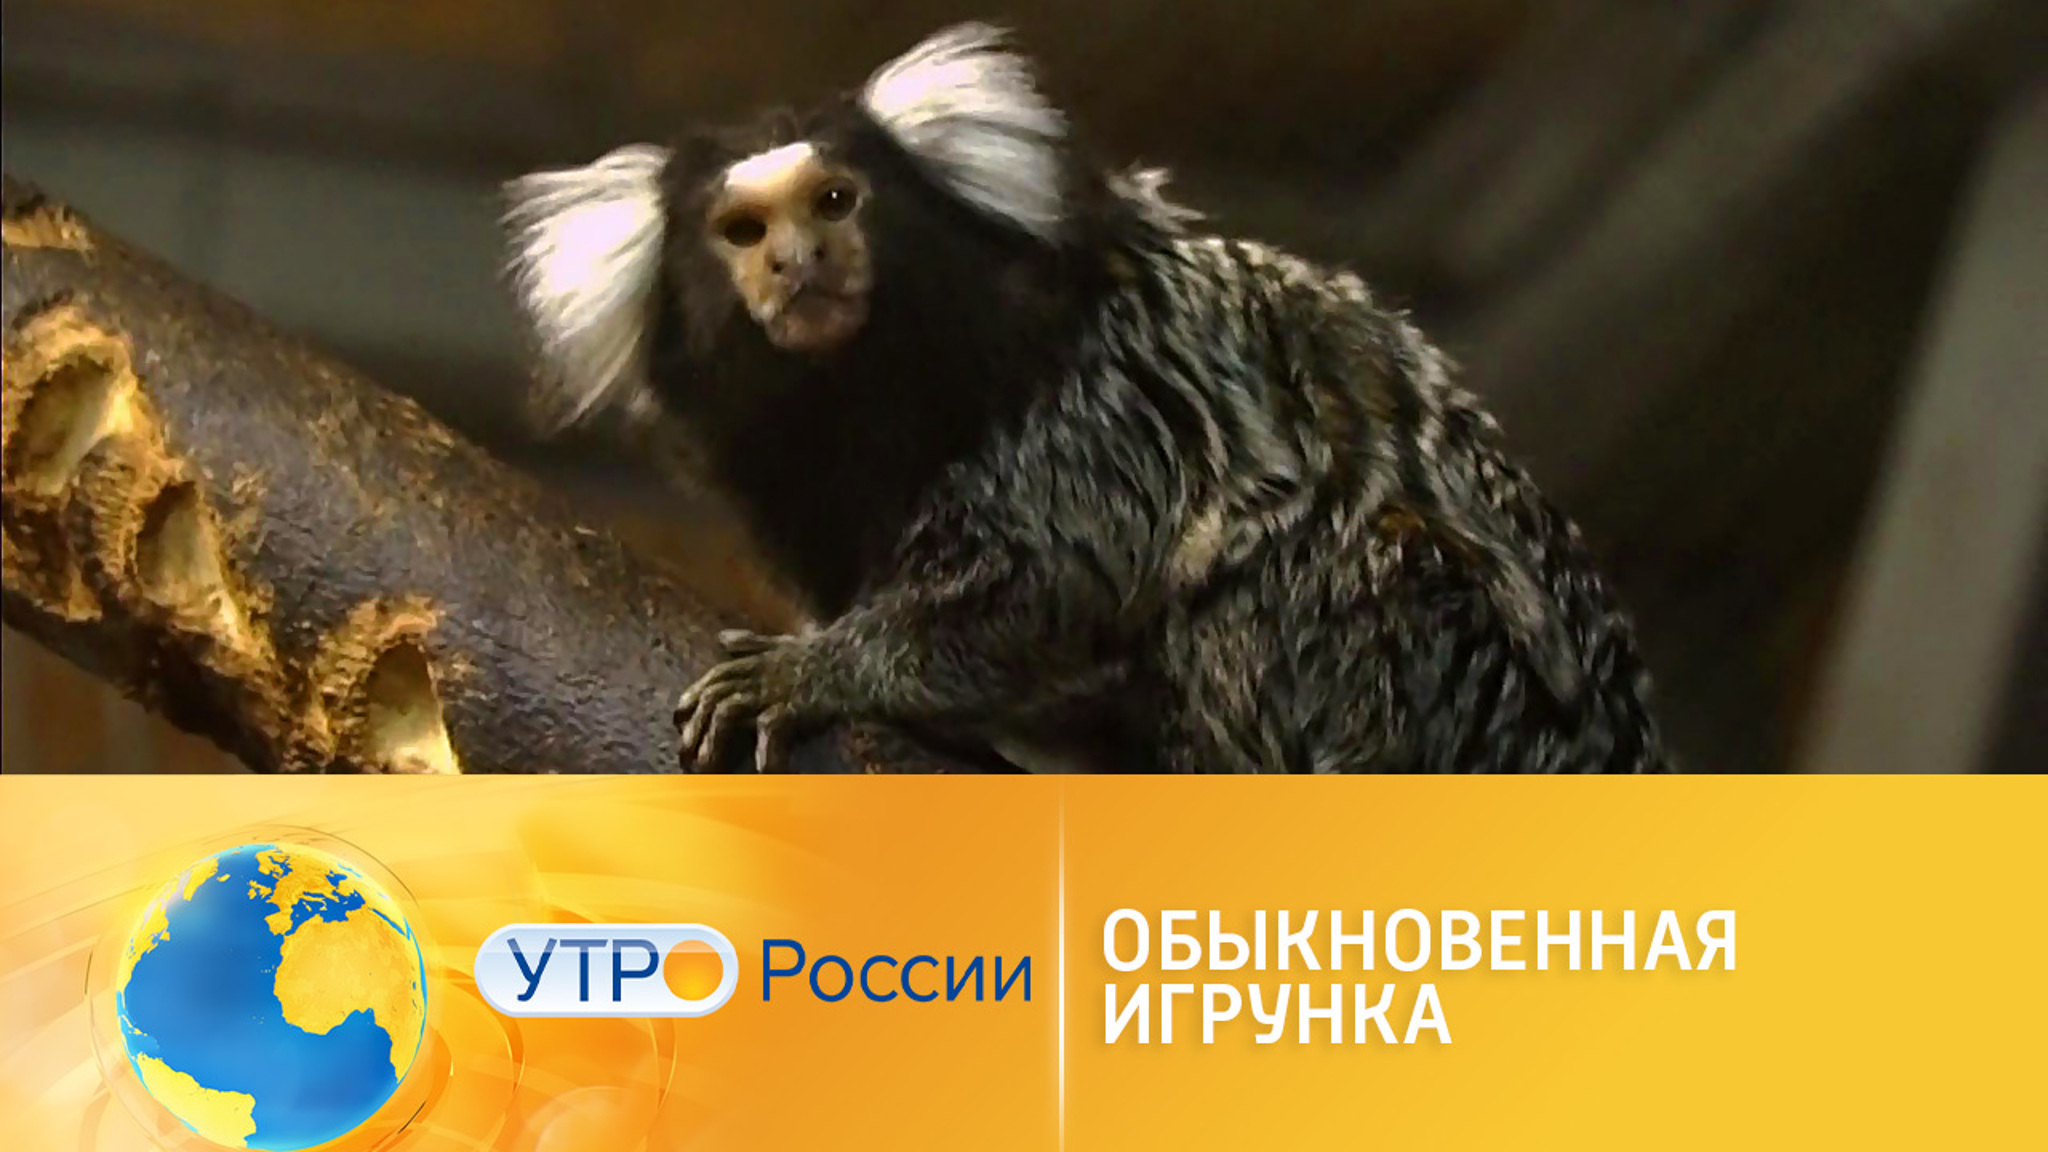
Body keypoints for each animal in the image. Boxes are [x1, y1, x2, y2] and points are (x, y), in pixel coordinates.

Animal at [501, 23, 1671, 774]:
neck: (876, 385)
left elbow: (1062, 568)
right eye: (740, 231)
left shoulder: (1093, 397)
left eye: (835, 200)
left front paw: (822, 671)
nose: (799, 262)